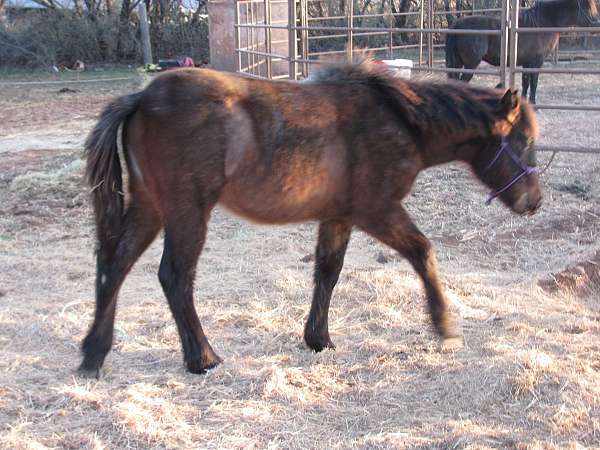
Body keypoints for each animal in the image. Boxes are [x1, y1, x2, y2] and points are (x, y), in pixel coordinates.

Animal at [77, 60, 540, 376]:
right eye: (523, 140)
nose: (533, 202)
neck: (401, 121)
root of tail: (141, 98)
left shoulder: (338, 217)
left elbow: (327, 272)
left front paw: (318, 338)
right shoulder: (378, 211)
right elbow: (423, 253)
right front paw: (444, 326)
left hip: (149, 207)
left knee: (113, 265)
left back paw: (93, 354)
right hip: (186, 212)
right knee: (174, 277)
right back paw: (201, 357)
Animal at [446, 0, 600, 103]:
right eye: (588, 7)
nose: (597, 25)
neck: (542, 23)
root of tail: (456, 26)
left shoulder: (527, 63)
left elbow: (526, 83)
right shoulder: (536, 62)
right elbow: (534, 82)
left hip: (458, 63)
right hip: (470, 65)